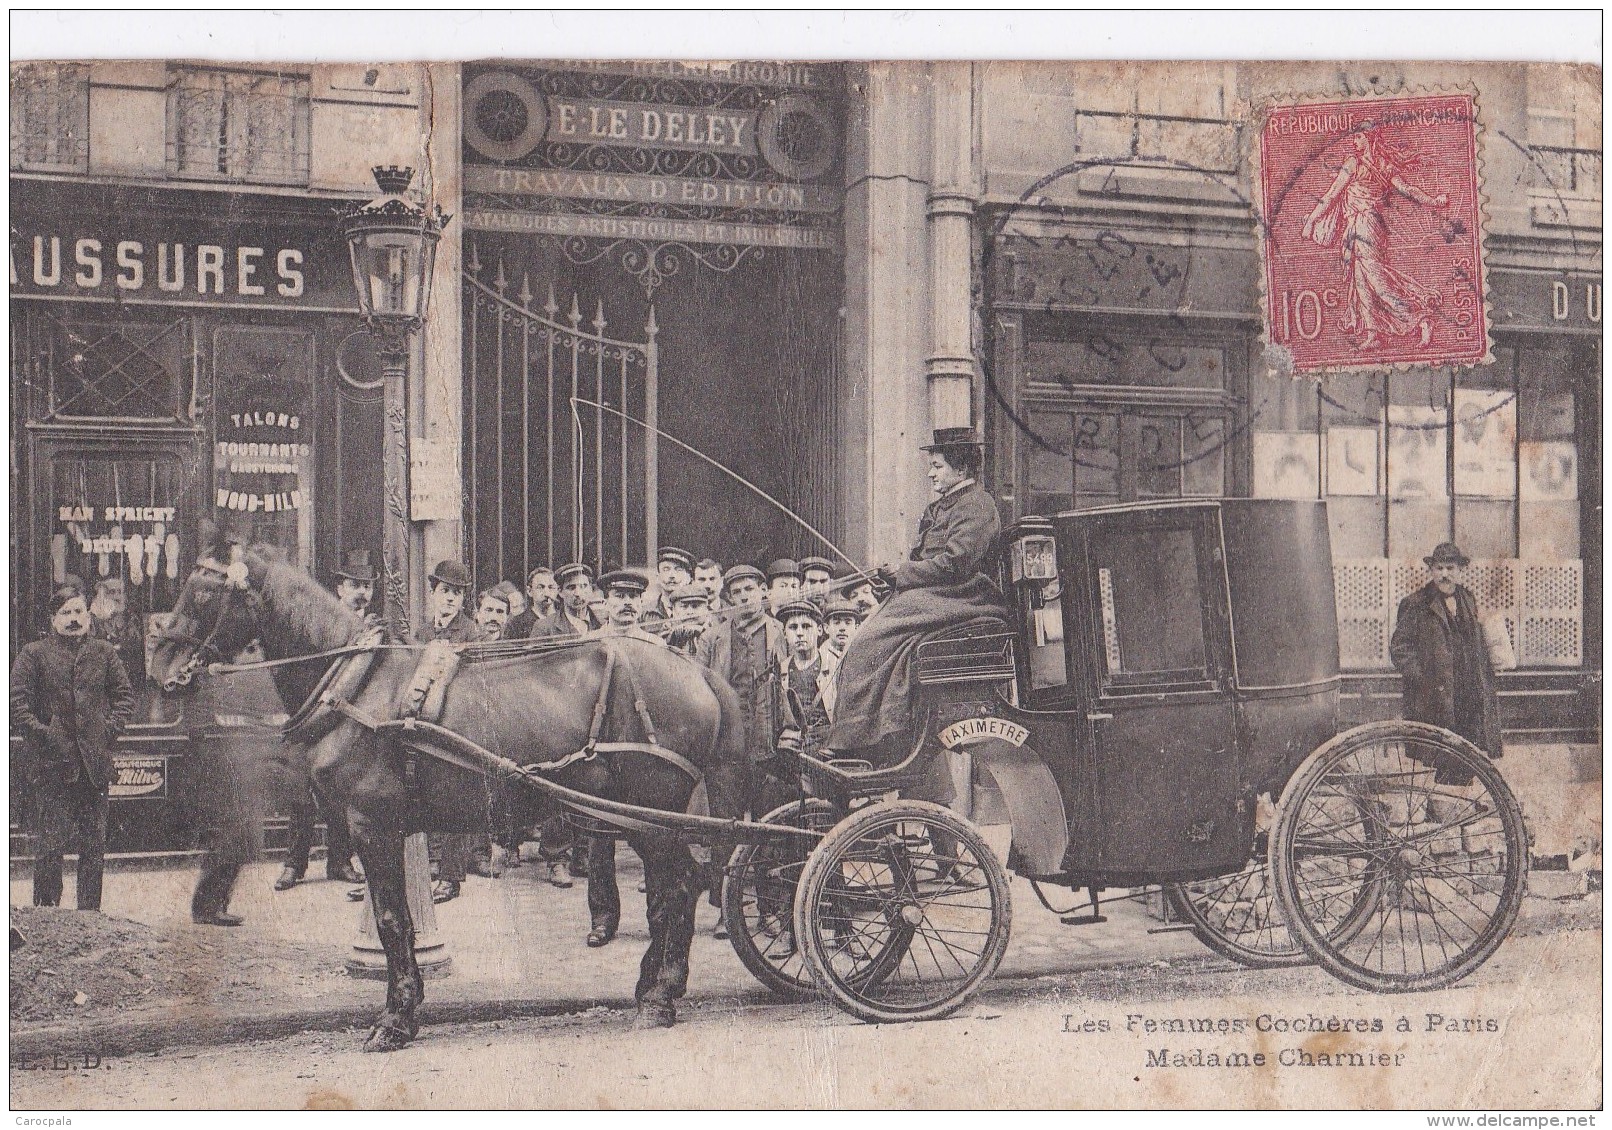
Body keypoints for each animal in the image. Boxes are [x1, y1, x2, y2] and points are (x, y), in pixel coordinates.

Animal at [148, 541, 751, 1044]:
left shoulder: (373, 826)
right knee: (677, 888)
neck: (357, 685)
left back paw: (662, 996)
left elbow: (393, 920)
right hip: (639, 817)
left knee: (679, 888)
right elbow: (397, 920)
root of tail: (695, 670)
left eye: (205, 593)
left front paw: (395, 1018)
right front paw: (405, 1008)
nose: (158, 667)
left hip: (651, 813)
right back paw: (653, 985)